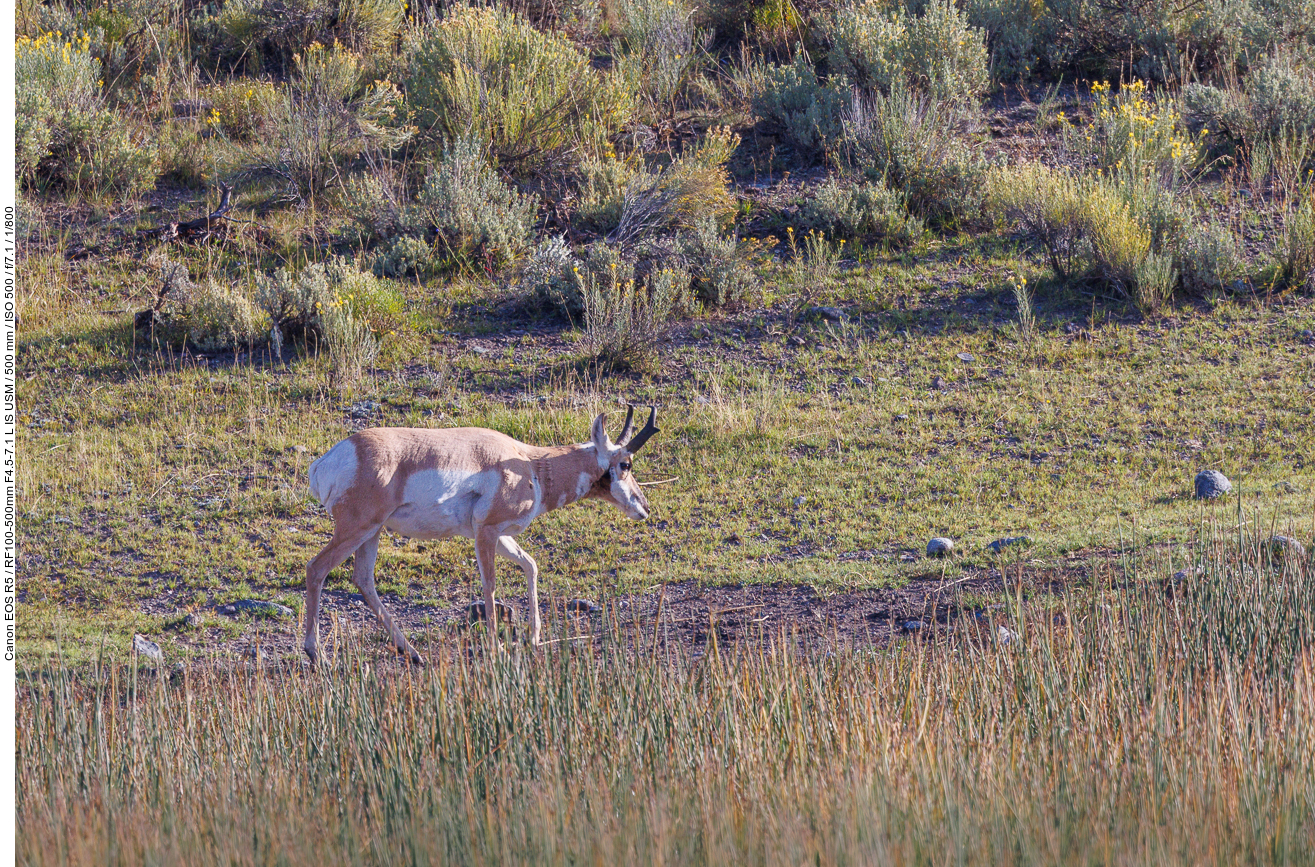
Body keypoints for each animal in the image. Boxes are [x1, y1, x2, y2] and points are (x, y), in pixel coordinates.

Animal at [305, 407, 657, 665]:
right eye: (626, 464)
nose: (645, 507)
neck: (528, 463)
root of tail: (330, 458)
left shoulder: (497, 534)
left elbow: (530, 565)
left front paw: (533, 637)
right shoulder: (486, 532)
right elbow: (490, 584)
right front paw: (496, 647)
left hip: (372, 532)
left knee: (363, 579)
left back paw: (413, 653)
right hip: (357, 529)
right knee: (316, 568)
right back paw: (316, 653)